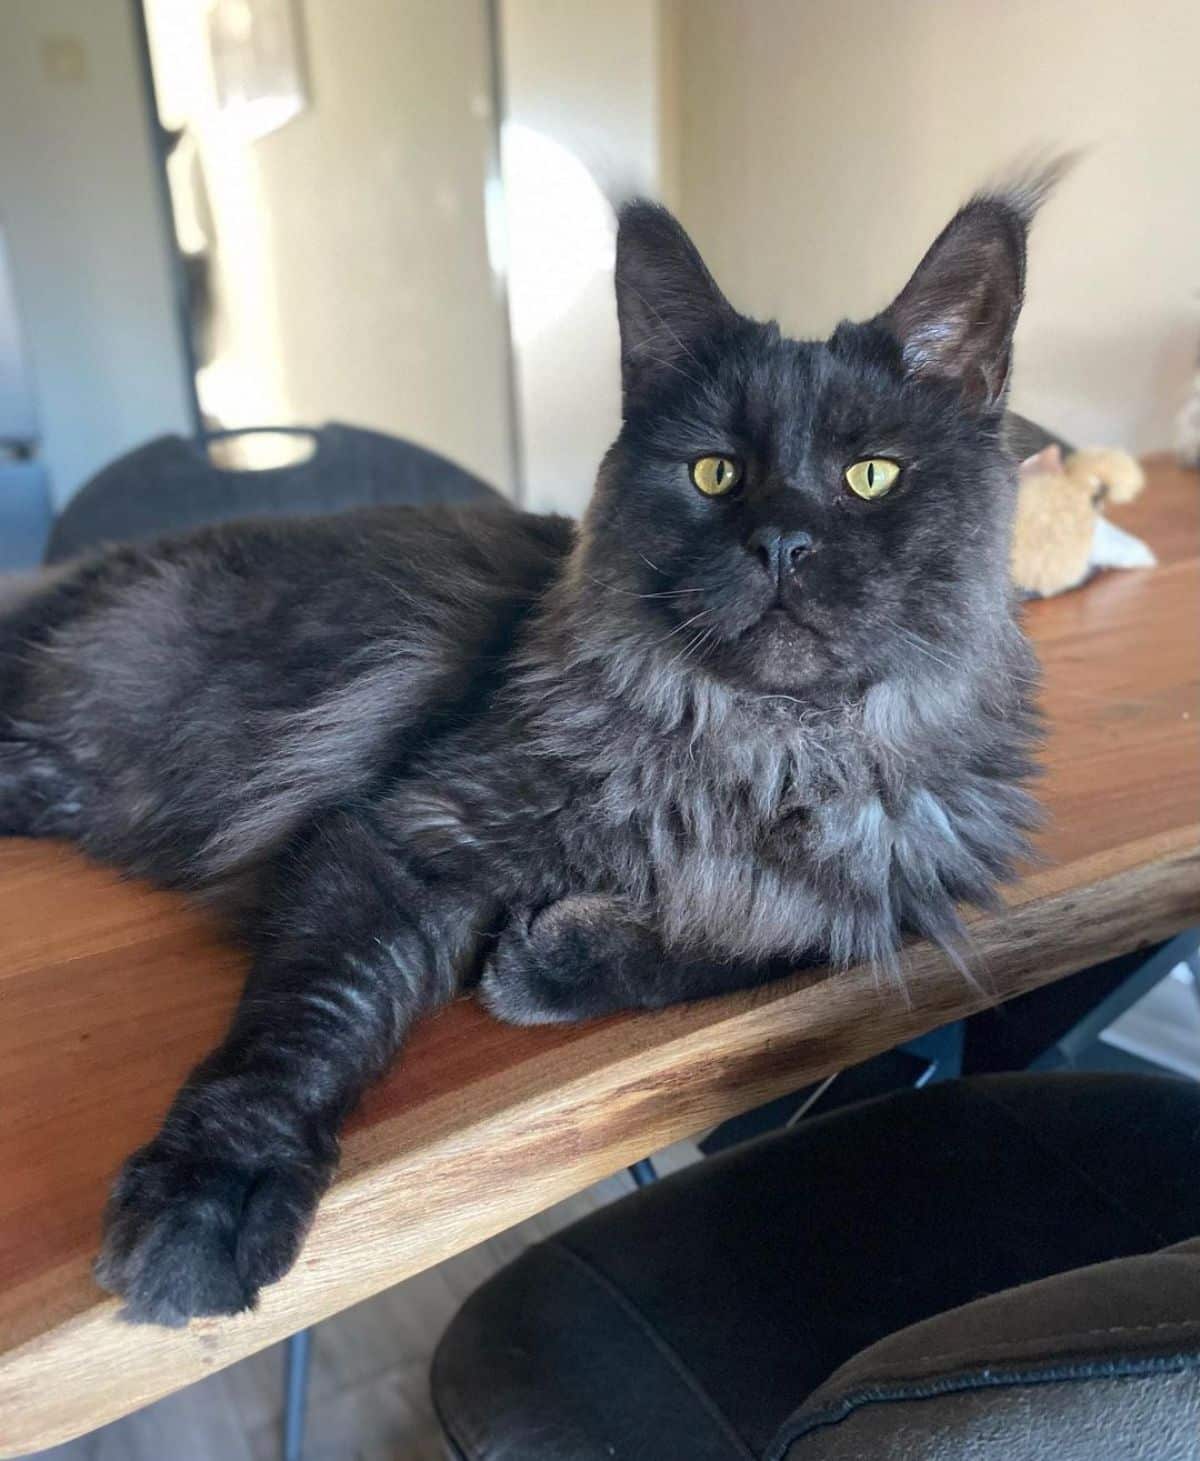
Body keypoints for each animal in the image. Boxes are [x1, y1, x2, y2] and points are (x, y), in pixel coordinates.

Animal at [0, 170, 1046, 1326]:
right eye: (715, 474)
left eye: (870, 476)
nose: (780, 544)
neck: (764, 752)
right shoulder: (404, 837)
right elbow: (312, 1019)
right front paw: (212, 1196)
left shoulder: (894, 898)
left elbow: (750, 936)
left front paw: (547, 958)